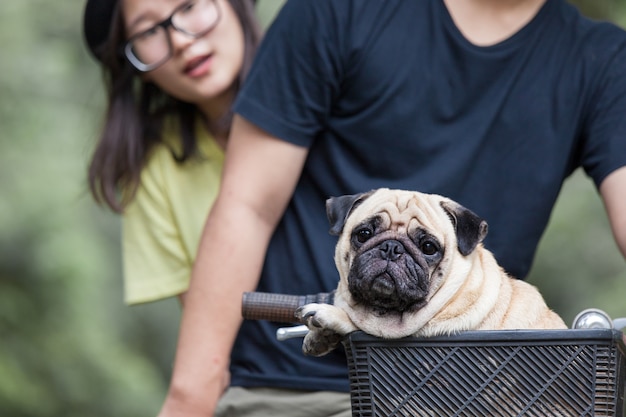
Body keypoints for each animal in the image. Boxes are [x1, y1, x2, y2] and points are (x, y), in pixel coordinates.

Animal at [294, 188, 564, 354]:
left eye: (428, 247)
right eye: (364, 234)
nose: (392, 248)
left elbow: (358, 322)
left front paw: (329, 315)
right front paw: (321, 337)